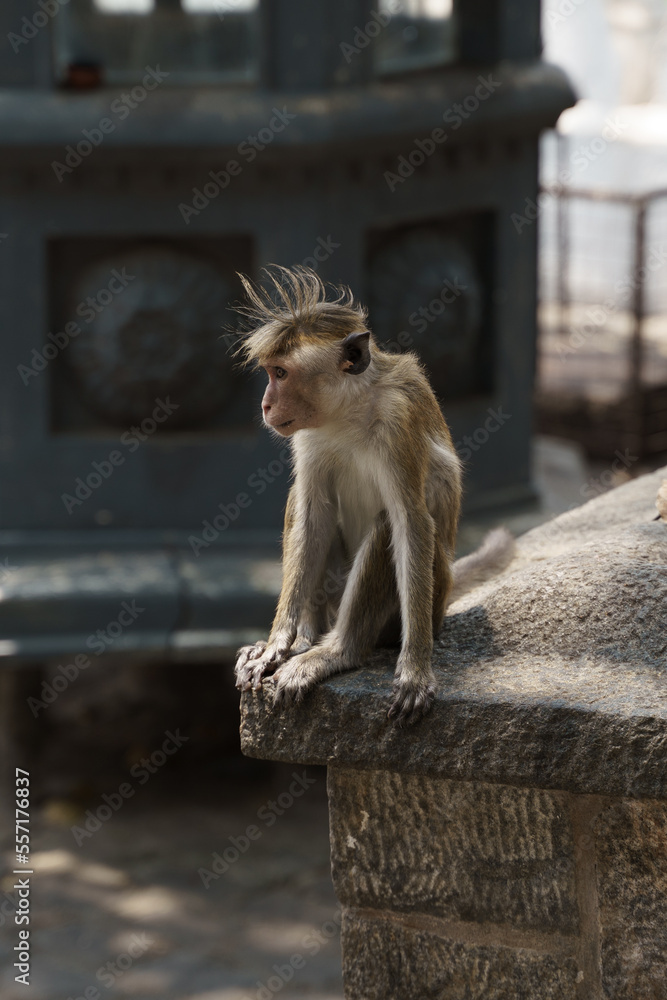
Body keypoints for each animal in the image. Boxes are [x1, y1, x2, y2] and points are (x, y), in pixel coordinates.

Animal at [234, 266, 514, 724]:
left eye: (282, 374)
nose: (265, 405)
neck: (350, 409)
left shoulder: (399, 420)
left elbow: (409, 521)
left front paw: (415, 670)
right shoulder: (310, 434)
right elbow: (313, 513)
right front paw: (277, 643)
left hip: (426, 600)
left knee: (386, 528)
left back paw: (337, 652)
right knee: (305, 506)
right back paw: (306, 639)